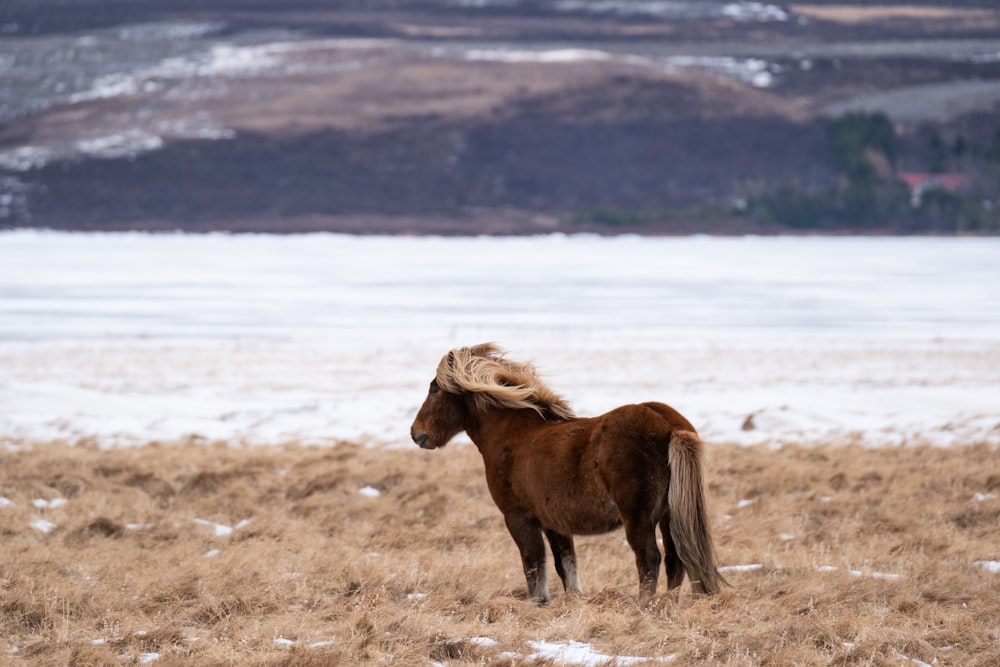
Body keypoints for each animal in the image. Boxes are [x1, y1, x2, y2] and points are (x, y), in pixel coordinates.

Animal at [410, 344, 724, 604]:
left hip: (638, 517)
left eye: (434, 389)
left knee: (649, 559)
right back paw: (669, 603)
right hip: (668, 515)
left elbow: (534, 566)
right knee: (675, 559)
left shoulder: (519, 518)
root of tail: (667, 424)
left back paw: (645, 605)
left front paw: (539, 603)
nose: (416, 433)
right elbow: (566, 565)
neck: (514, 435)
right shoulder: (555, 523)